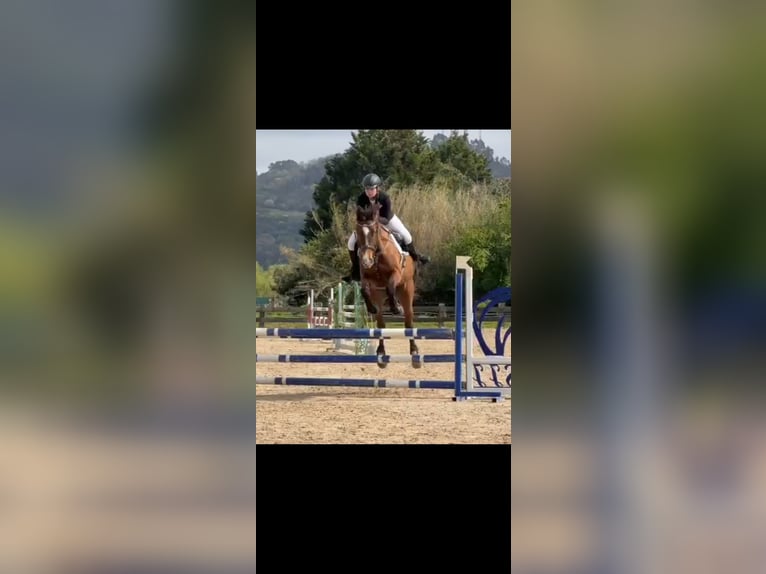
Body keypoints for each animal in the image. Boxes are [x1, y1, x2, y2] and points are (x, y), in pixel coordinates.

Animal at [354, 203, 421, 369]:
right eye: (357, 232)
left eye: (374, 232)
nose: (366, 261)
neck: (377, 254)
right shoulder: (367, 279)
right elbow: (363, 289)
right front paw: (371, 308)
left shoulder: (396, 273)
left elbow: (390, 287)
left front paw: (395, 308)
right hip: (378, 296)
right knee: (381, 324)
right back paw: (381, 354)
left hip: (407, 289)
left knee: (409, 322)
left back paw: (414, 354)